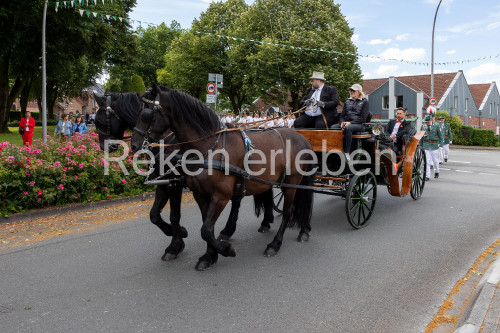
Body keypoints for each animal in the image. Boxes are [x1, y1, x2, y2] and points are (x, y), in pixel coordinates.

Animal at [94, 92, 274, 260]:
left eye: (99, 120)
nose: (103, 147)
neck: (165, 142)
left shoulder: (174, 183)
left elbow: (174, 216)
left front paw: (175, 245)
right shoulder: (163, 182)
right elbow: (154, 215)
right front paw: (177, 233)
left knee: (239, 200)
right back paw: (259, 222)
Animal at [131, 85, 314, 270]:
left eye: (146, 113)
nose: (134, 145)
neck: (210, 147)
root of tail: (302, 138)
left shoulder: (218, 196)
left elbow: (203, 228)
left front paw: (225, 250)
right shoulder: (198, 194)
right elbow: (206, 227)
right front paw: (209, 256)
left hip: (291, 183)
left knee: (288, 212)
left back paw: (276, 243)